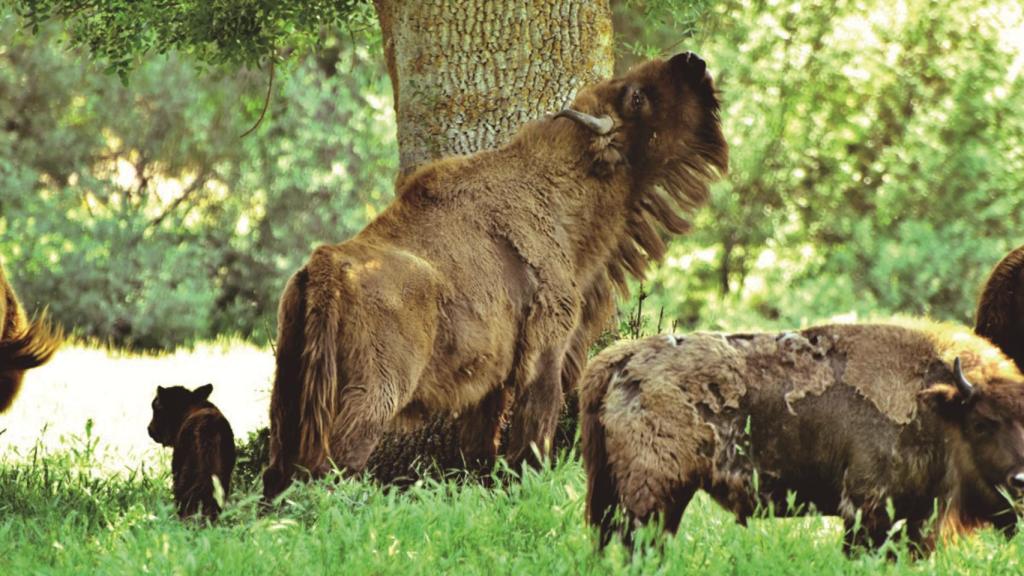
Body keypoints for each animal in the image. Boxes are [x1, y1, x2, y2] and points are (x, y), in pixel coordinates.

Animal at [264, 50, 729, 498]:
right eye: (636, 97)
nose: (692, 61)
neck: (557, 190)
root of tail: (327, 266)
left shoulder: (487, 385)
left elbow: (478, 447)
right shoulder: (546, 349)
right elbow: (534, 431)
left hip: (288, 392)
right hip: (374, 395)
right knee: (336, 463)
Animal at [581, 319, 1024, 553]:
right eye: (981, 423)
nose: (1019, 480)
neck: (934, 406)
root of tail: (623, 358)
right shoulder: (866, 510)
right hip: (654, 497)